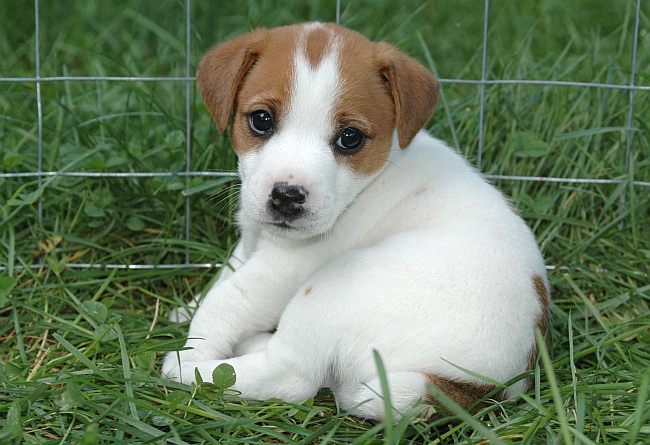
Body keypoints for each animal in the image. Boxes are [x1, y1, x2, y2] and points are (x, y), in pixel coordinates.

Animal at [162, 21, 548, 420]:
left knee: (290, 376)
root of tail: (475, 388)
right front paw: (184, 309)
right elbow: (224, 275)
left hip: (334, 287)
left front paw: (195, 348)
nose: (287, 196)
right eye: (261, 120)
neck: (377, 174)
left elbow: (223, 302)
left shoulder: (279, 271)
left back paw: (192, 371)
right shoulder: (253, 238)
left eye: (350, 138)